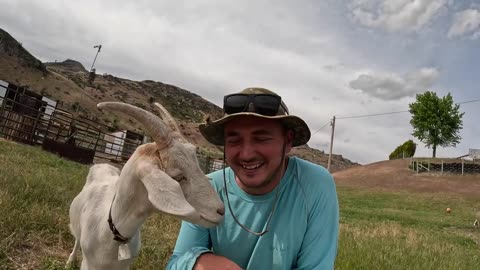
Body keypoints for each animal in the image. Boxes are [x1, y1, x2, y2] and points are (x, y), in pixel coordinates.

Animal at [65, 102, 225, 268]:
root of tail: (103, 165)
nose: (220, 211)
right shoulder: (88, 263)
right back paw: (70, 261)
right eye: (178, 177)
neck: (109, 234)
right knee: (77, 239)